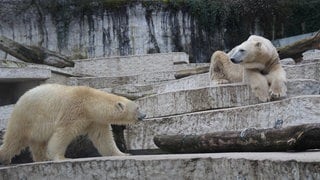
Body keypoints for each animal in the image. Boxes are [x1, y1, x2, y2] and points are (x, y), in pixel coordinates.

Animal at [0, 84, 146, 165]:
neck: (89, 103)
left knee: (37, 143)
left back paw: (43, 158)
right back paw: (4, 159)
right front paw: (61, 158)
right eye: (137, 107)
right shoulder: (73, 110)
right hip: (25, 117)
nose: (144, 115)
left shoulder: (95, 120)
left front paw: (123, 154)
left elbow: (103, 138)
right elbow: (63, 133)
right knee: (13, 140)